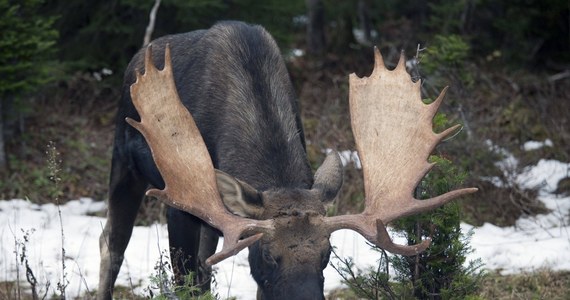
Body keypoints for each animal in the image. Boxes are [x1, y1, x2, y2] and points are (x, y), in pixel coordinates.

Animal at [97, 21, 474, 300]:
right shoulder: (180, 205)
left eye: (327, 254)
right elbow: (186, 283)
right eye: (267, 254)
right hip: (123, 164)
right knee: (111, 243)